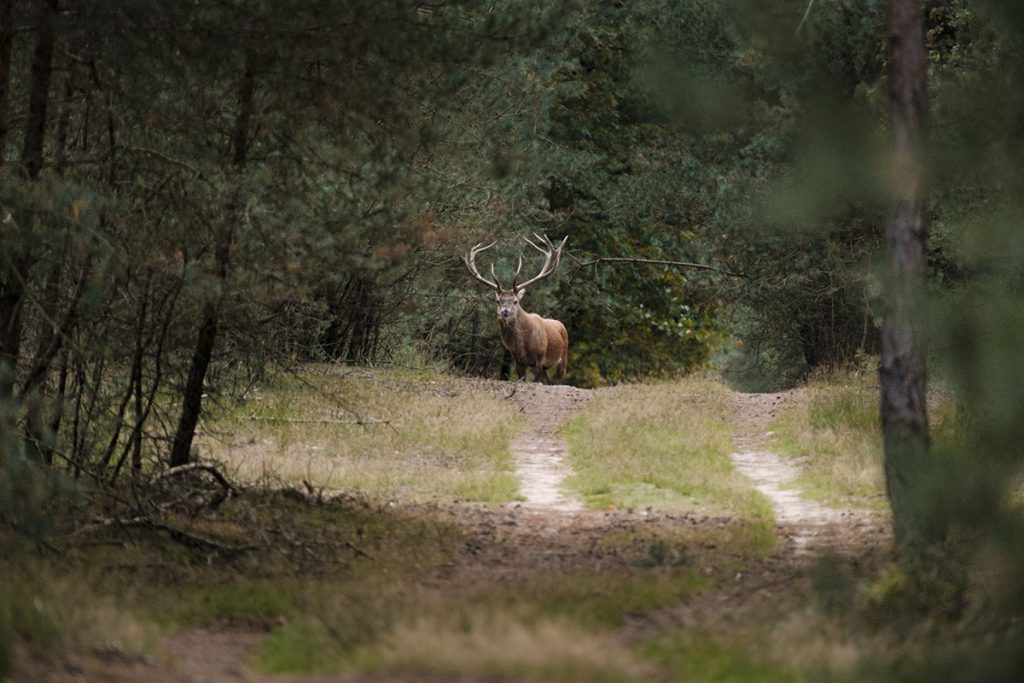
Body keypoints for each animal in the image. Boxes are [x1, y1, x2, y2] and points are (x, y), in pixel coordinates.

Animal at [462, 235, 569, 385]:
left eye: (515, 301)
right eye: (498, 301)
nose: (505, 311)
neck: (523, 344)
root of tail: (561, 325)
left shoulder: (540, 358)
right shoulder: (517, 360)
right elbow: (523, 379)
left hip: (563, 357)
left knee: (559, 379)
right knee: (547, 380)